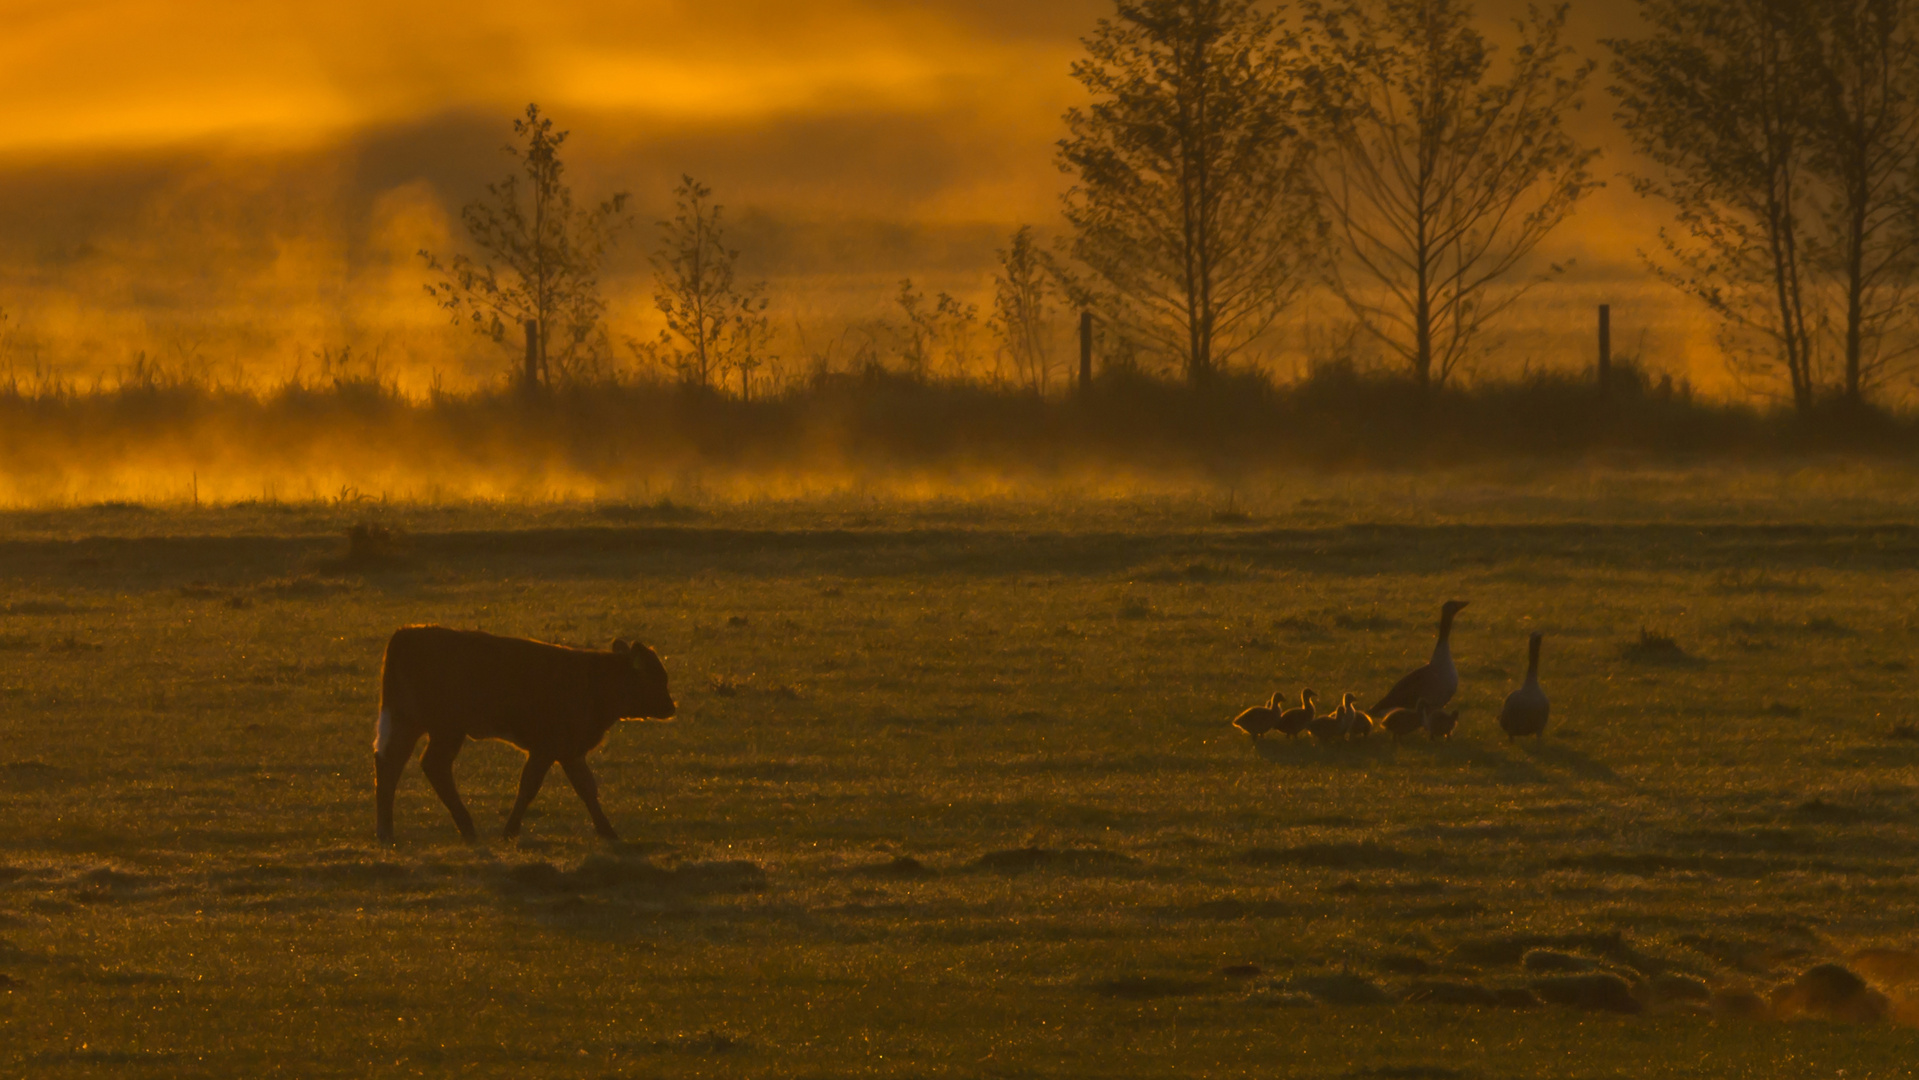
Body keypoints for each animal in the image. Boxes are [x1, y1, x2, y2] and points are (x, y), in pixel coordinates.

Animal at [372, 625, 675, 844]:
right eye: (657, 677)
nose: (671, 707)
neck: (594, 680)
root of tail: (409, 632)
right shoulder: (547, 748)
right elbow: (529, 786)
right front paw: (510, 831)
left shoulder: (570, 751)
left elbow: (587, 789)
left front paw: (607, 830)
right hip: (445, 730)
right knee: (431, 765)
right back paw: (464, 827)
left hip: (409, 724)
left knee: (391, 763)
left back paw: (388, 832)